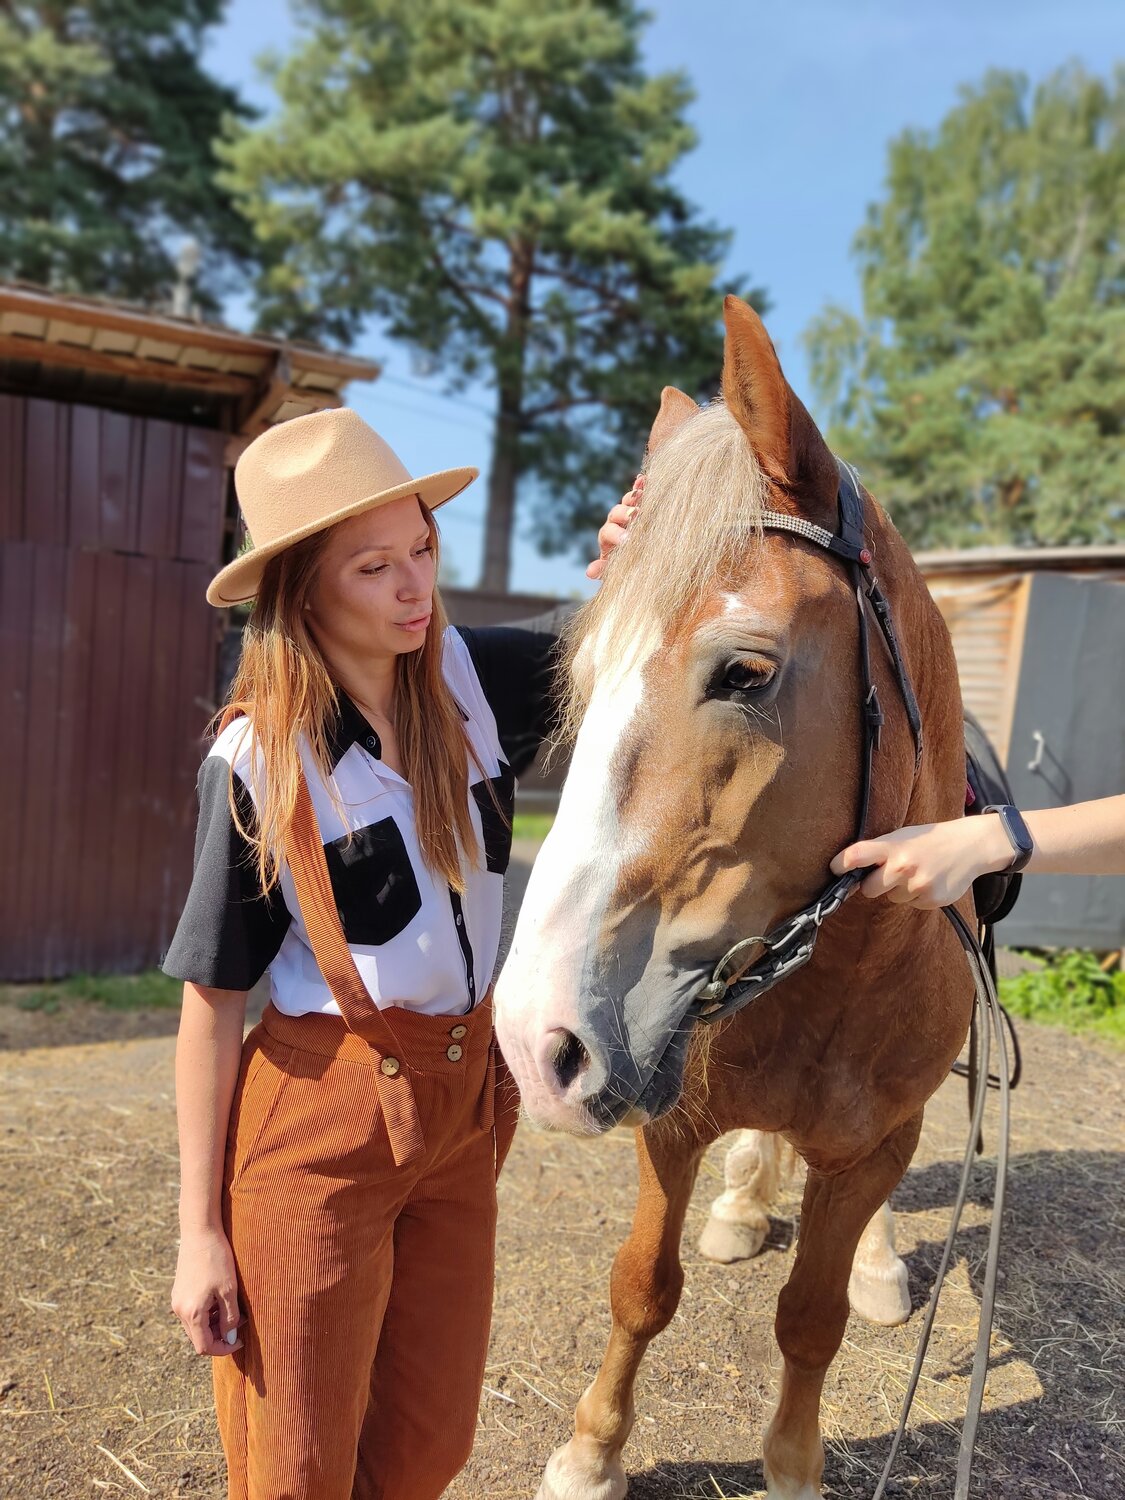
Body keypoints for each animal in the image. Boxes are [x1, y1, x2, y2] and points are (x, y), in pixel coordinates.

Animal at [493, 296, 975, 1500]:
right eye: (578, 680)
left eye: (744, 673)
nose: (534, 1042)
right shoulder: (668, 1126)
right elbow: (640, 1289)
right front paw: (590, 1453)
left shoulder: (872, 1143)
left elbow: (809, 1318)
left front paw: (794, 1466)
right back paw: (742, 1204)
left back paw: (877, 1265)